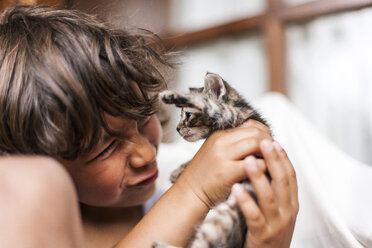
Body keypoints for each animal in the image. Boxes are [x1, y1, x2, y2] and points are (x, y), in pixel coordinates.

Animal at [153, 72, 268, 247]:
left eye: (188, 115)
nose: (177, 129)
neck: (240, 106)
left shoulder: (231, 114)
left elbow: (208, 105)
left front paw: (172, 95)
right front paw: (178, 171)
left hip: (224, 218)